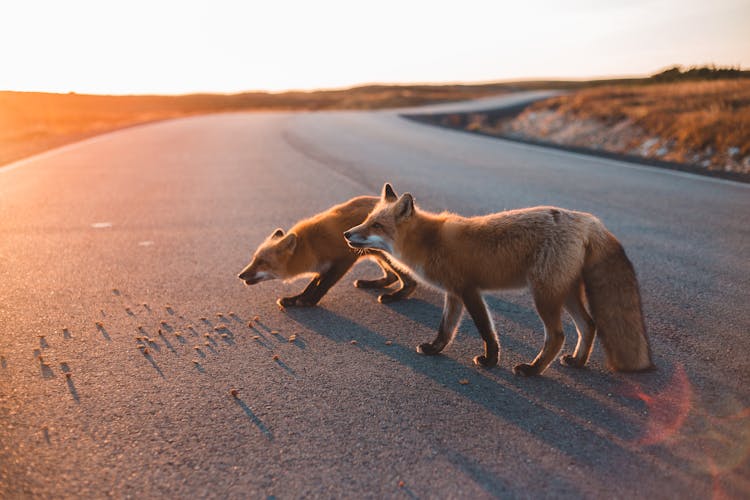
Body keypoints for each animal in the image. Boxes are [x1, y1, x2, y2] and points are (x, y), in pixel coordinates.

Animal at [238, 193, 418, 306]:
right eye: (254, 259)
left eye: (262, 262)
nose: (240, 275)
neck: (310, 245)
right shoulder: (322, 265)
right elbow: (311, 285)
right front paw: (295, 299)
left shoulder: (344, 260)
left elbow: (324, 285)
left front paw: (308, 302)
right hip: (378, 255)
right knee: (391, 277)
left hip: (386, 255)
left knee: (411, 282)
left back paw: (394, 296)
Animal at [344, 184, 656, 376]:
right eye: (368, 219)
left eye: (376, 225)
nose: (347, 234)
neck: (429, 242)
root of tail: (587, 219)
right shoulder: (453, 293)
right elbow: (445, 329)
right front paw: (434, 349)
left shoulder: (469, 290)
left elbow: (486, 330)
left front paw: (491, 360)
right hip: (565, 292)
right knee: (589, 325)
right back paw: (577, 362)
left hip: (544, 295)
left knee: (557, 335)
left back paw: (532, 370)